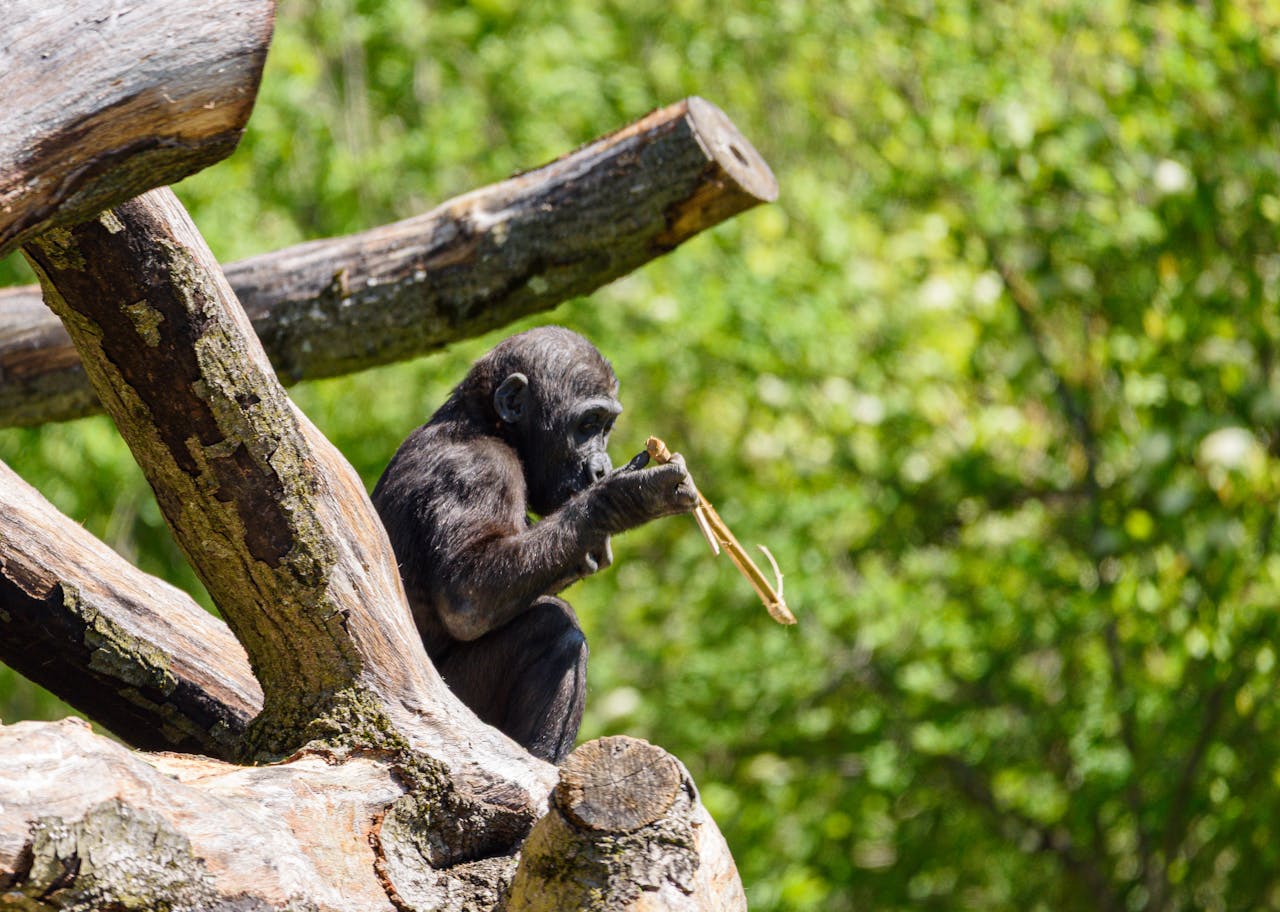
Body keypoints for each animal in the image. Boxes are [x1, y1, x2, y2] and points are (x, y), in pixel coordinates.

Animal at [371, 326, 697, 763]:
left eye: (606, 426)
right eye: (587, 424)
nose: (601, 468)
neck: (490, 426)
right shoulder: (477, 471)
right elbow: (469, 596)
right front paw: (624, 497)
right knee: (554, 628)